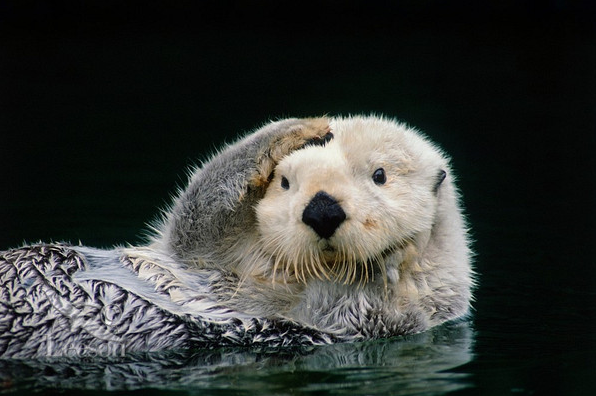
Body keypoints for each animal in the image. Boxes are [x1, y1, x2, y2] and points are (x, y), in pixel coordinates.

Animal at [0, 115, 474, 358]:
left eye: (379, 175)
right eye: (285, 182)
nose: (322, 208)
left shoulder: (363, 321)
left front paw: (395, 261)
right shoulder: (197, 258)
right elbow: (198, 216)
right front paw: (300, 128)